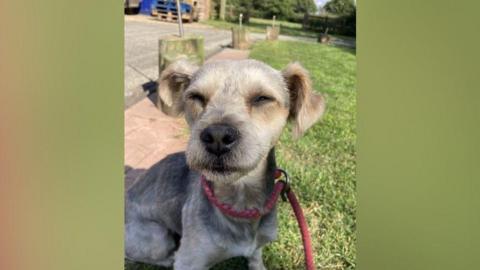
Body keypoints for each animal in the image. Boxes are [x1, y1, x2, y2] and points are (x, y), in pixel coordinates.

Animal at [124, 59, 326, 270]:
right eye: (196, 97)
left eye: (262, 98)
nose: (217, 137)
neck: (240, 203)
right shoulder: (190, 260)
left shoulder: (259, 244)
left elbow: (256, 258)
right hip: (156, 237)